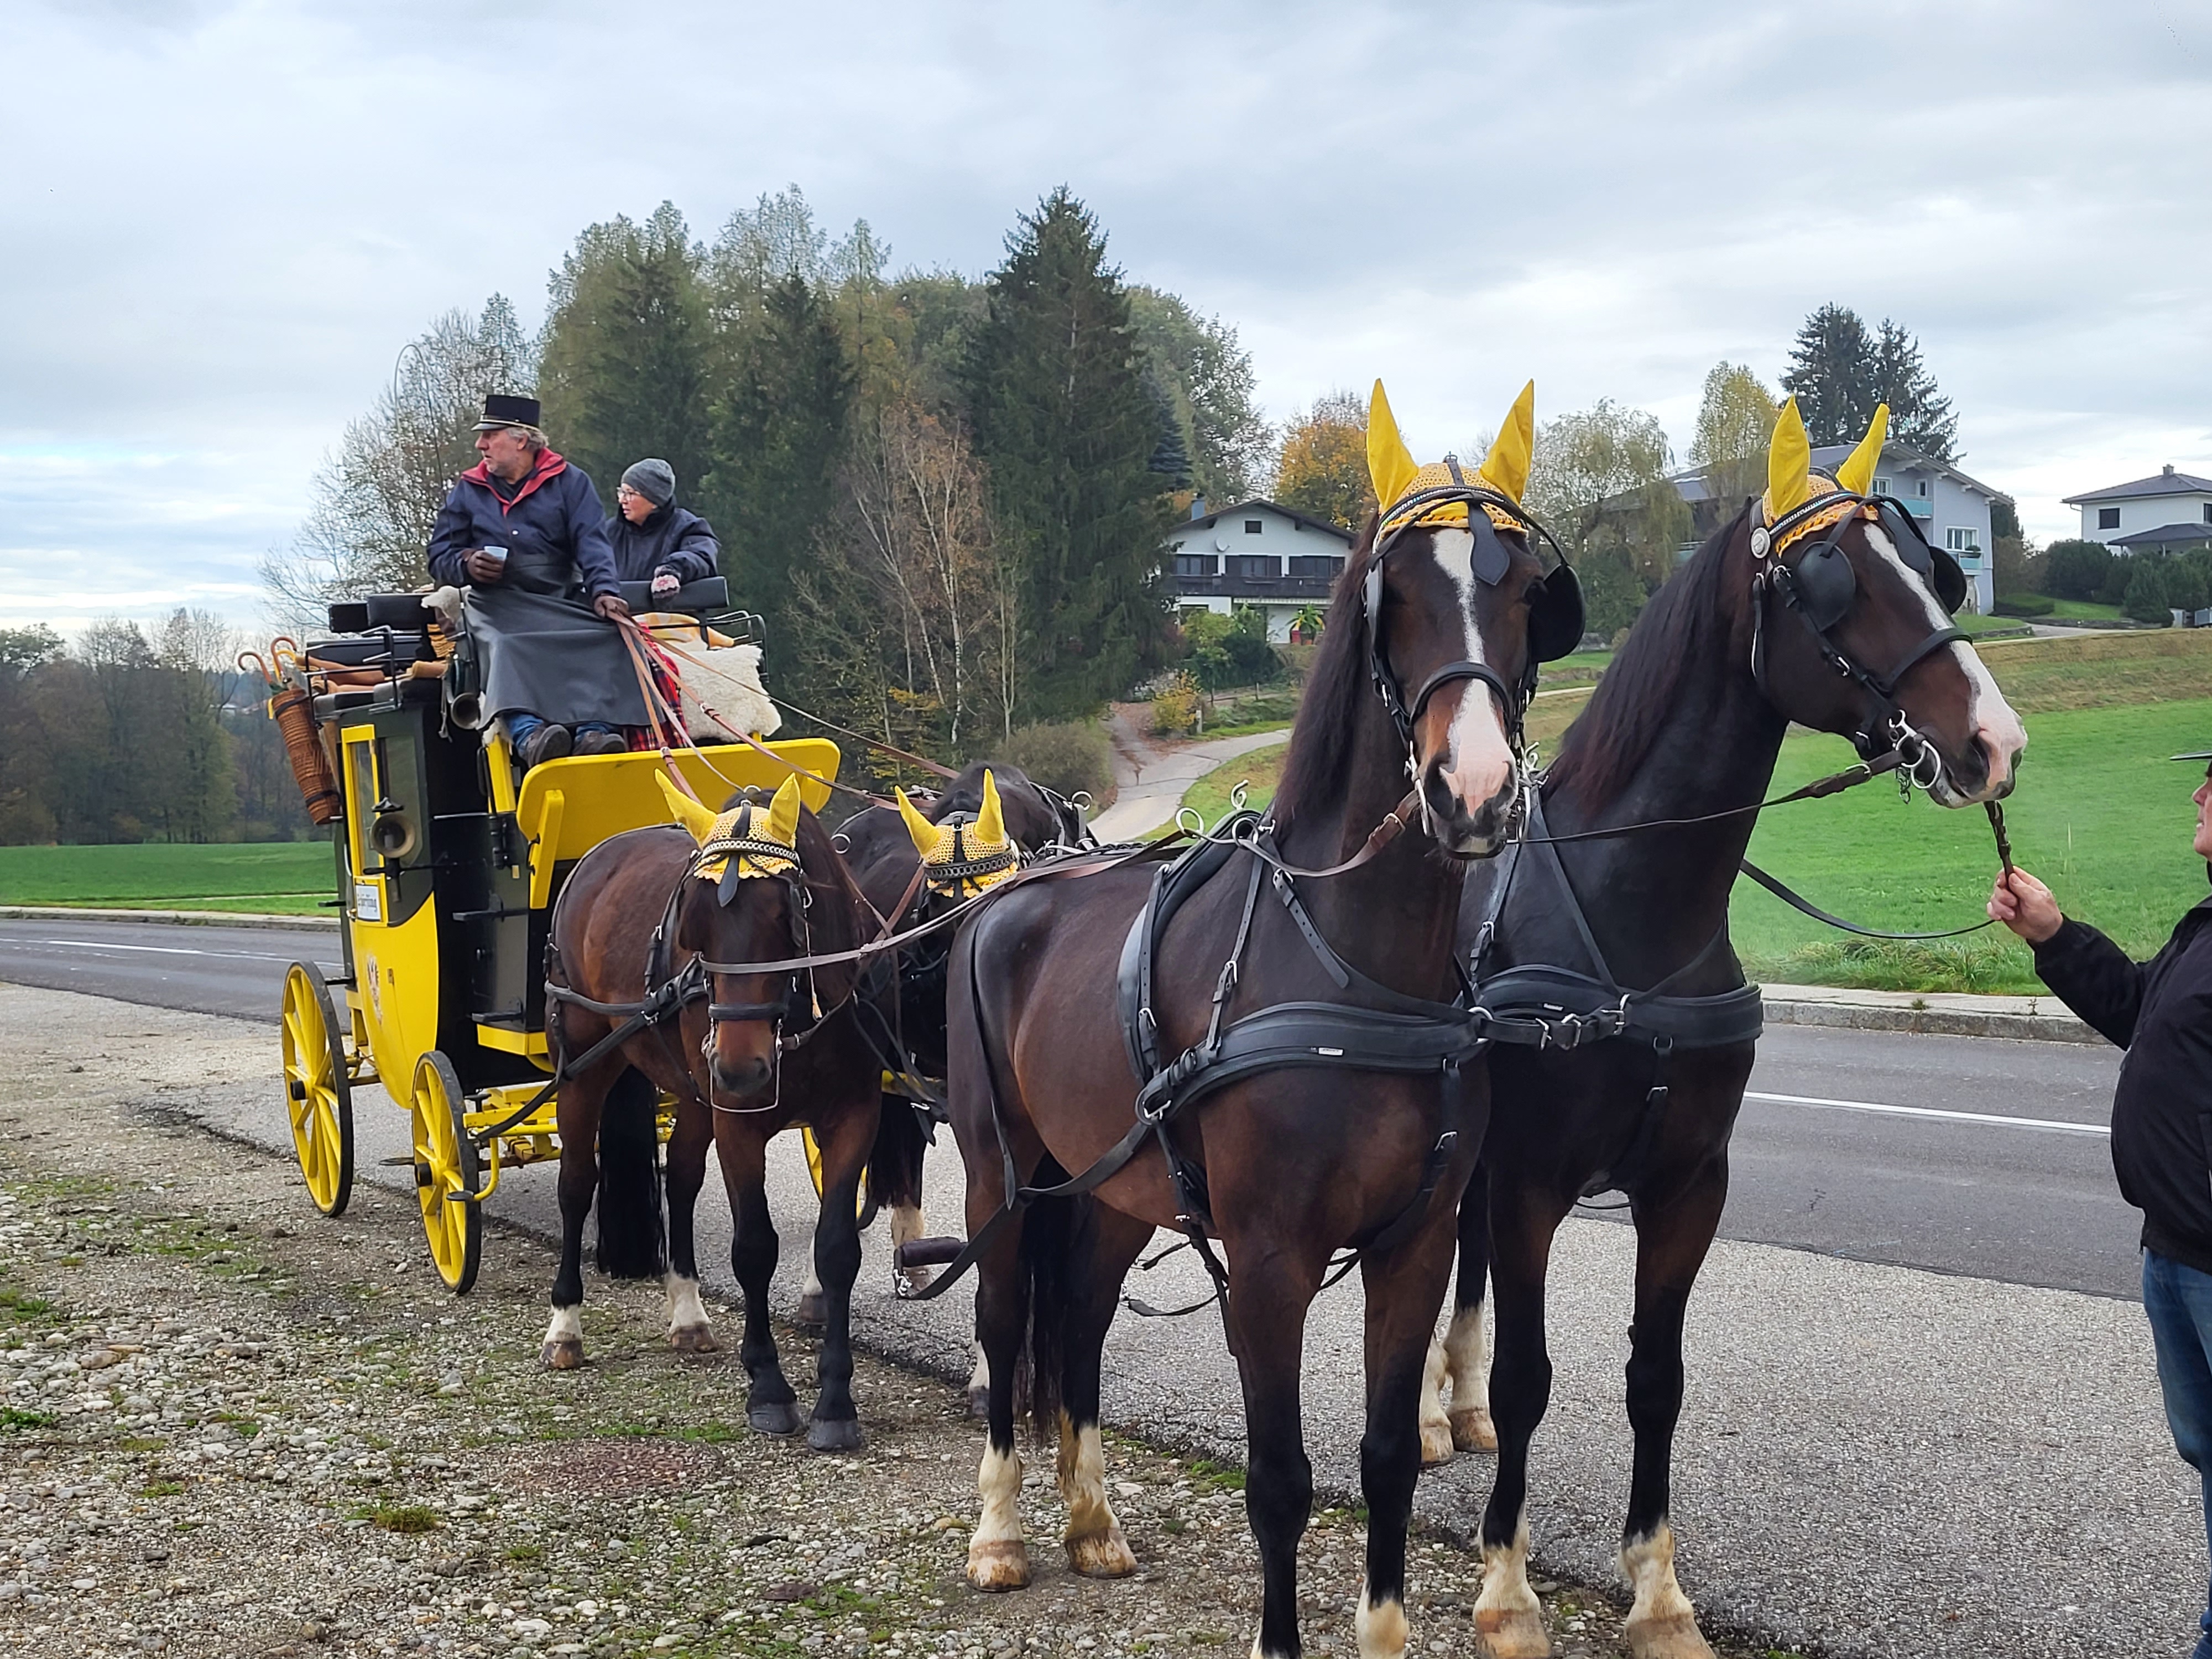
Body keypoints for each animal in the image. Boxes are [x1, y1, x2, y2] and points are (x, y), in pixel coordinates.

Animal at [539, 772, 892, 1451]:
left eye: (786, 917)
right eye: (694, 928)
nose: (740, 1069)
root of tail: (595, 857)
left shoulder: (854, 1116)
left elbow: (837, 1249)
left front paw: (836, 1401)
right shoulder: (737, 1122)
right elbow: (754, 1246)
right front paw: (769, 1388)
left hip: (692, 1089)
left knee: (680, 1177)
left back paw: (687, 1310)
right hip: (587, 1064)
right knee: (575, 1185)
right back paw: (565, 1325)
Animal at [941, 381, 1584, 1659]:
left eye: (1520, 595)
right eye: (1397, 595)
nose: (1476, 793)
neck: (1352, 972)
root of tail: (1011, 890)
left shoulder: (1413, 1246)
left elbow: (1385, 1461)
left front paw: (1382, 1632)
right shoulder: (1271, 1257)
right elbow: (1280, 1480)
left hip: (1109, 1187)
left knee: (1078, 1321)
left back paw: (1090, 1521)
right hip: (1003, 1174)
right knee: (1001, 1323)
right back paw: (1000, 1534)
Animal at [1422, 401, 2028, 1659]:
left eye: (1936, 566)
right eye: (1833, 582)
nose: (1995, 743)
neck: (1628, 915)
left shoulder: (1688, 1182)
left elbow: (1656, 1376)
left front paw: (1655, 1592)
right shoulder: (1532, 1181)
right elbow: (1532, 1374)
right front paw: (1506, 1585)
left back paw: (1451, 1409)